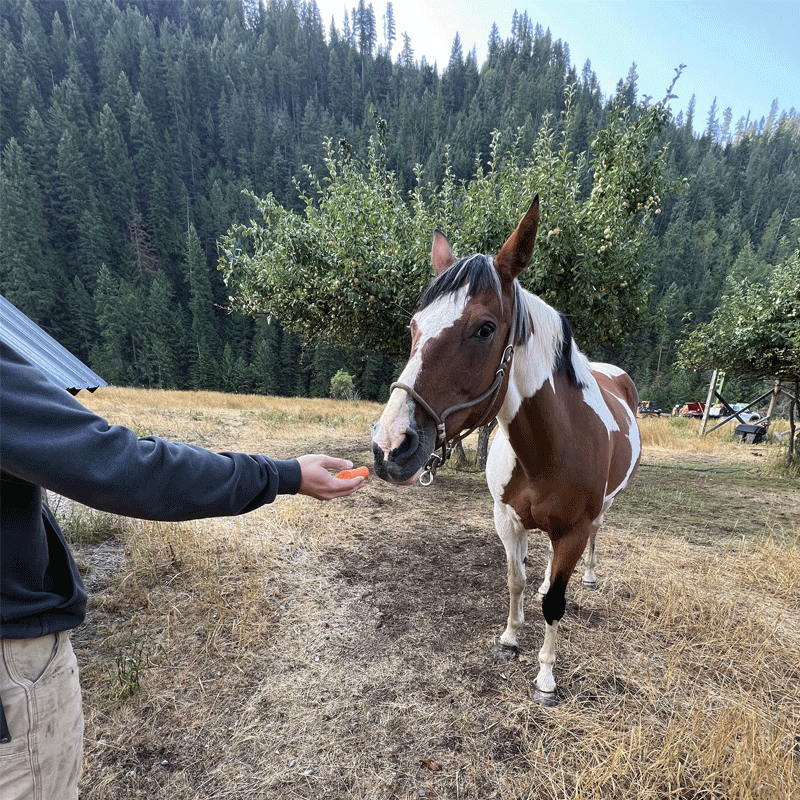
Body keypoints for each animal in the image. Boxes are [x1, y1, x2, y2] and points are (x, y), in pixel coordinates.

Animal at [372, 197, 640, 704]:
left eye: (484, 329)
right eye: (413, 327)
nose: (389, 446)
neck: (549, 450)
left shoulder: (573, 530)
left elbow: (555, 604)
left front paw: (546, 677)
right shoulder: (507, 518)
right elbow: (515, 581)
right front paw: (510, 639)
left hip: (605, 509)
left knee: (594, 540)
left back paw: (589, 575)